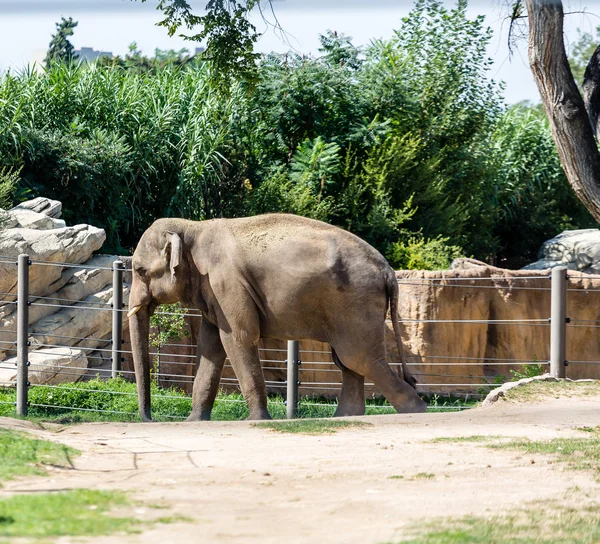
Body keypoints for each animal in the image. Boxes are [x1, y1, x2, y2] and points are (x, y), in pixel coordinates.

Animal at [127, 212, 426, 420]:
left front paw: (257, 420)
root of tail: (388, 270)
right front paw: (194, 421)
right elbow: (210, 347)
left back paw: (415, 411)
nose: (150, 419)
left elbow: (238, 338)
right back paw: (347, 416)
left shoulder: (226, 283)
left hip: (356, 302)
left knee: (359, 358)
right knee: (347, 361)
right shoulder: (214, 291)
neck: (192, 228)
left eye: (140, 270)